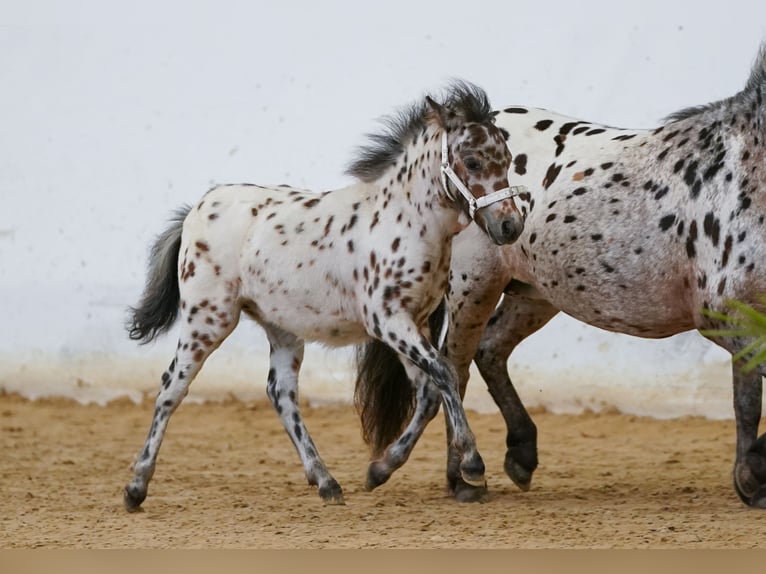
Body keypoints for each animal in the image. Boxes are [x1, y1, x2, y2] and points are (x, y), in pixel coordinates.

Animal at [121, 82, 528, 512]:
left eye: (506, 160)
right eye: (472, 160)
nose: (510, 225)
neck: (405, 222)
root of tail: (196, 210)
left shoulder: (413, 321)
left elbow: (429, 391)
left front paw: (380, 470)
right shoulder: (388, 320)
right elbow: (445, 374)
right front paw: (472, 463)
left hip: (281, 328)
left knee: (281, 394)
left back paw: (327, 482)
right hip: (208, 318)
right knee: (172, 387)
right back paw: (136, 487)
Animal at [356, 48, 766, 508]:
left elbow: (750, 396)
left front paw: (754, 476)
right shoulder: (722, 314)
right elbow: (750, 396)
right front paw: (752, 476)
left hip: (534, 294)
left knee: (489, 350)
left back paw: (519, 454)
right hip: (472, 289)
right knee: (452, 371)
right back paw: (461, 478)